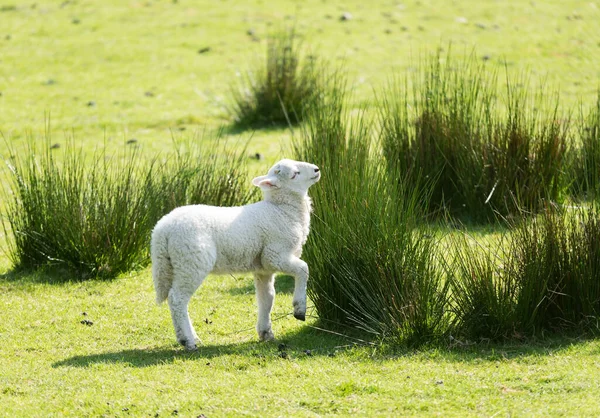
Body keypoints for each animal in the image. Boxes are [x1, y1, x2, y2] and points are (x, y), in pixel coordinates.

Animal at [149, 158, 322, 352]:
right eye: (294, 174)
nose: (317, 169)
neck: (281, 210)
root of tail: (162, 230)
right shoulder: (275, 255)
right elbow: (303, 269)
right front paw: (299, 309)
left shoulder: (263, 268)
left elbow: (267, 298)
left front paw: (266, 333)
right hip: (191, 261)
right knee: (177, 299)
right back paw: (188, 341)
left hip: (172, 263)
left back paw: (190, 338)